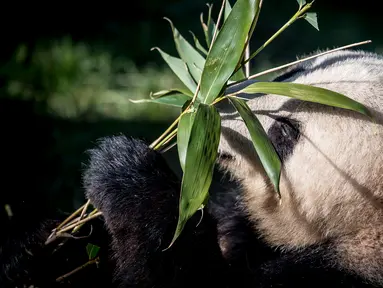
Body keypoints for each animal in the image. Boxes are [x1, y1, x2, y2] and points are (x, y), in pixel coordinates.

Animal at [2, 49, 383, 288]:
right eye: (291, 73)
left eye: (284, 132)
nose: (215, 107)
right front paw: (42, 247)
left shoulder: (342, 275)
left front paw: (124, 173)